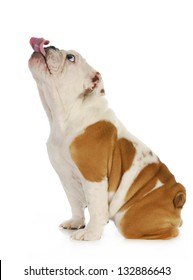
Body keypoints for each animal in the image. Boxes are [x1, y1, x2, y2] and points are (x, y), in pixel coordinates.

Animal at [28, 37, 185, 241]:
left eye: (71, 57)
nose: (50, 45)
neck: (66, 114)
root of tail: (177, 196)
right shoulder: (66, 178)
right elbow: (75, 203)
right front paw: (76, 223)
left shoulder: (93, 176)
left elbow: (95, 207)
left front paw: (91, 233)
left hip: (131, 219)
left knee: (170, 231)